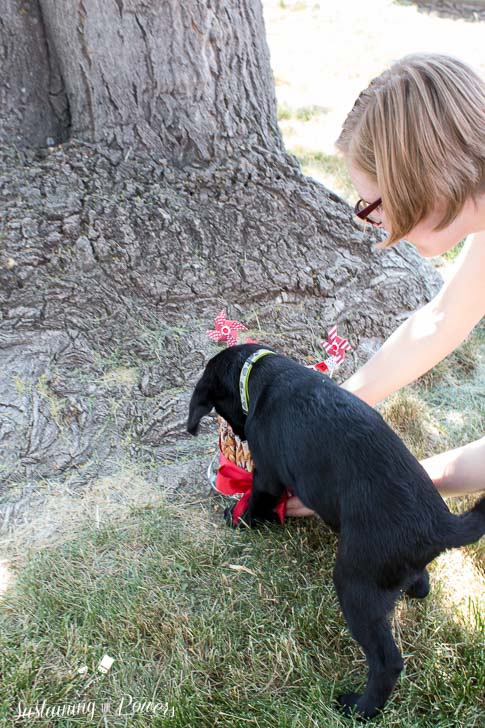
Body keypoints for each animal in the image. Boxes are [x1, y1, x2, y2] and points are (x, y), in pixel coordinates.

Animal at [186, 344, 484, 720]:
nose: (238, 436)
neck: (262, 375)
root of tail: (440, 525)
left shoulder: (267, 474)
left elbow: (256, 499)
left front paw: (238, 519)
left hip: (356, 585)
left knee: (387, 662)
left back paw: (360, 707)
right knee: (421, 583)